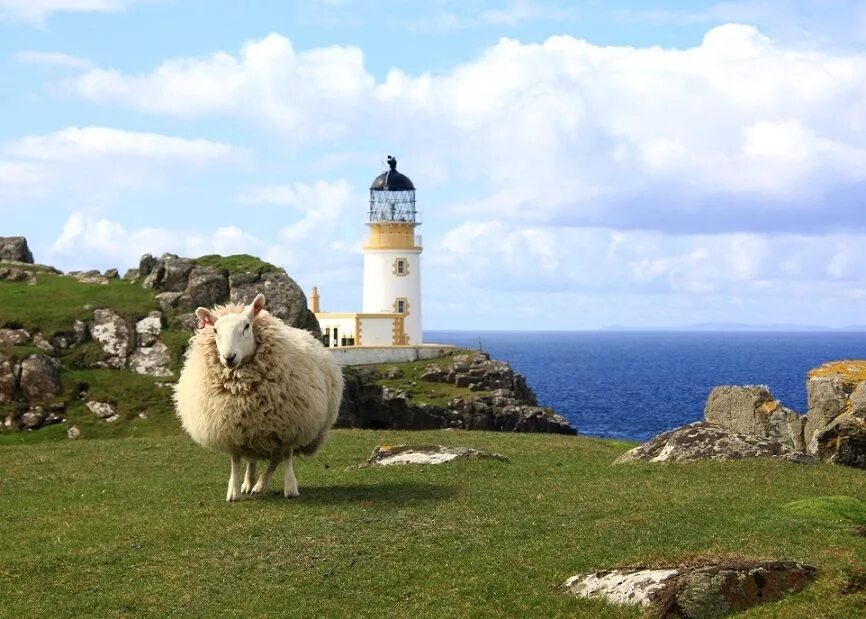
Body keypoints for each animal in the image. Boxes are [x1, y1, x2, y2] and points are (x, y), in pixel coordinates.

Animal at [172, 294, 340, 502]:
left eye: (246, 326)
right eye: (215, 330)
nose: (229, 357)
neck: (242, 388)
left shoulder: (290, 425)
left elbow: (286, 456)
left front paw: (290, 487)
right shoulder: (231, 428)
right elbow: (235, 460)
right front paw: (233, 490)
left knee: (276, 458)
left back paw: (260, 485)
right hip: (252, 428)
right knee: (253, 456)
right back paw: (249, 483)